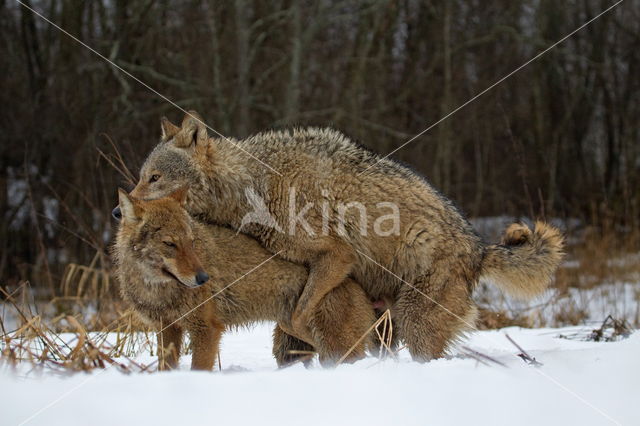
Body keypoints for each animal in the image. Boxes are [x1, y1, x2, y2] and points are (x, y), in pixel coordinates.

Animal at [112, 188, 376, 372]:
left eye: (192, 242)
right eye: (169, 244)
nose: (203, 278)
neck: (156, 289)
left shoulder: (207, 330)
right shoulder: (167, 329)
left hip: (333, 348)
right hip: (291, 345)